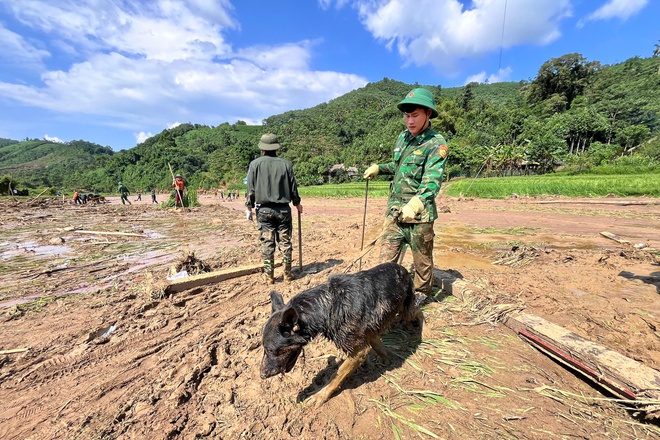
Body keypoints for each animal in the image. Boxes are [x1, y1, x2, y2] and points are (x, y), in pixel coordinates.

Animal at [260, 262, 422, 406]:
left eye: (271, 350)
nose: (262, 375)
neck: (326, 307)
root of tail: (402, 268)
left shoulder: (358, 352)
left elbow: (336, 375)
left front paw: (321, 396)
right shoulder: (365, 339)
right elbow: (377, 349)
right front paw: (386, 363)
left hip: (406, 311)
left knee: (418, 311)